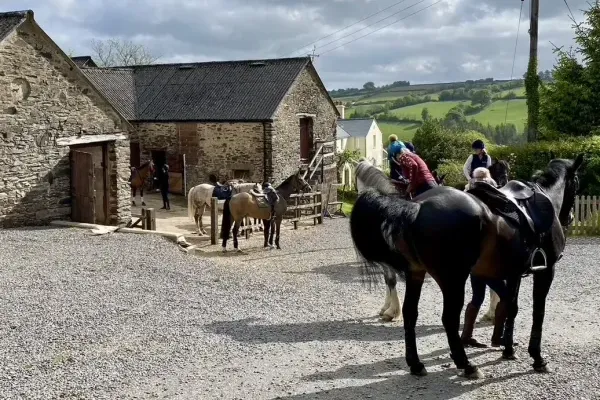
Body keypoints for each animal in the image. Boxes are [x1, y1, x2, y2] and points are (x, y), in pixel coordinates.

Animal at [350, 154, 584, 378]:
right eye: (576, 182)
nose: (570, 217)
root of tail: (417, 206)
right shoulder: (546, 271)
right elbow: (538, 312)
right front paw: (537, 358)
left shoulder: (514, 273)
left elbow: (511, 307)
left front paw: (508, 349)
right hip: (453, 280)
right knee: (449, 318)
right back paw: (466, 365)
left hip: (416, 273)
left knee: (410, 313)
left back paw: (416, 364)